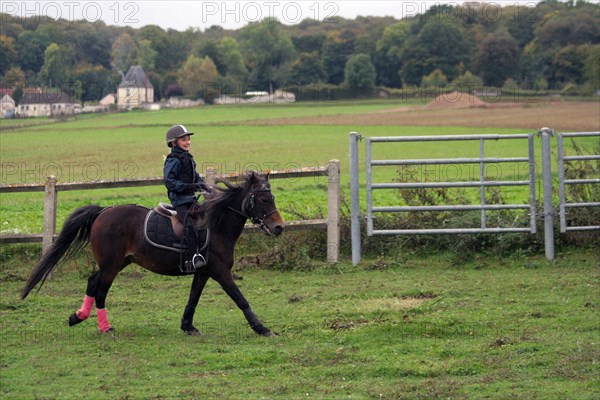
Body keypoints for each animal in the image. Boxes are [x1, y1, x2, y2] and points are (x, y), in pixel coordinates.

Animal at [22, 170, 284, 336]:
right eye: (263, 199)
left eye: (272, 197)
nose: (279, 227)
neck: (216, 224)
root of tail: (102, 212)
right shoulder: (220, 271)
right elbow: (240, 299)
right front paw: (262, 329)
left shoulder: (203, 271)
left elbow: (193, 298)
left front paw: (187, 326)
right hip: (111, 265)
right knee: (100, 290)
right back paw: (105, 327)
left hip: (118, 262)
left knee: (92, 282)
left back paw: (78, 316)